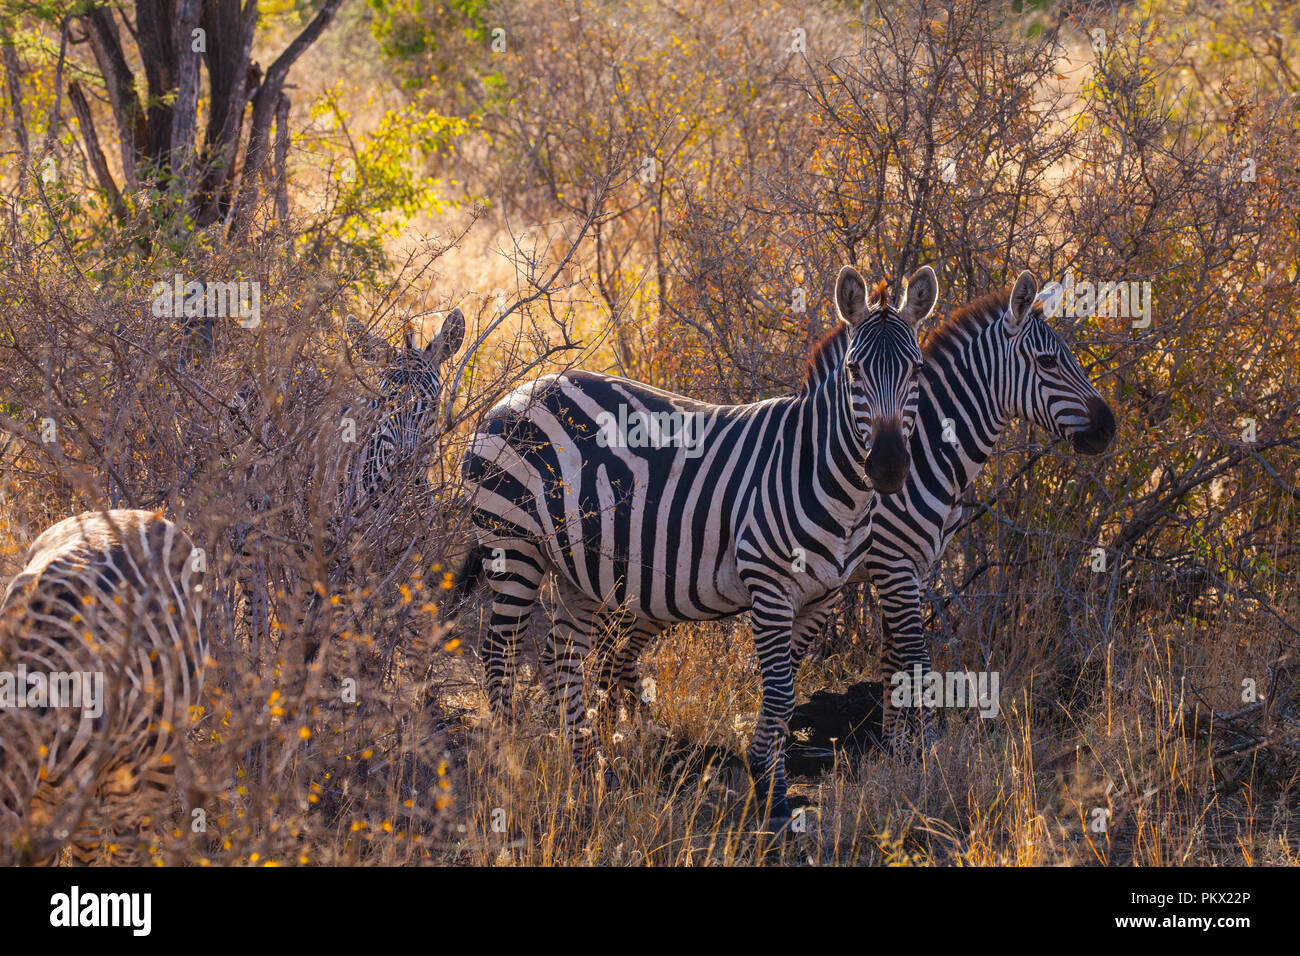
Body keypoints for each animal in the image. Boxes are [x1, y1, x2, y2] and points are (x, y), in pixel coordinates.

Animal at [457, 265, 935, 827]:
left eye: (917, 371)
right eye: (855, 372)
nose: (888, 468)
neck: (823, 476)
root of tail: (515, 393)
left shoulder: (822, 596)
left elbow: (787, 695)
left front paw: (766, 780)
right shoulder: (769, 584)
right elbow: (778, 695)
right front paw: (772, 798)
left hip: (575, 567)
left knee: (562, 658)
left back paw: (592, 775)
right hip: (512, 544)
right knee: (499, 654)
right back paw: (512, 764)